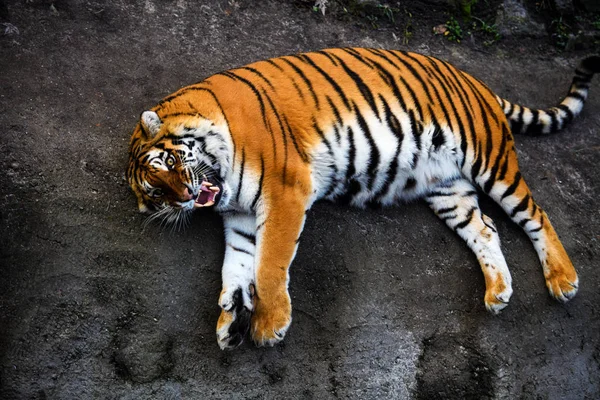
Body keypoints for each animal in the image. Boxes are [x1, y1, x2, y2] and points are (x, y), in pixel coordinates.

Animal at [125, 47, 596, 350]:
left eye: (170, 160)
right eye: (157, 194)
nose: (186, 196)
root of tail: (475, 80)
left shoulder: (285, 191)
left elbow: (268, 263)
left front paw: (269, 325)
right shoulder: (240, 218)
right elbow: (237, 266)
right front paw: (230, 322)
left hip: (490, 160)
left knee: (536, 214)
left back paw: (563, 280)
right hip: (447, 188)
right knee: (485, 229)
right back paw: (498, 292)